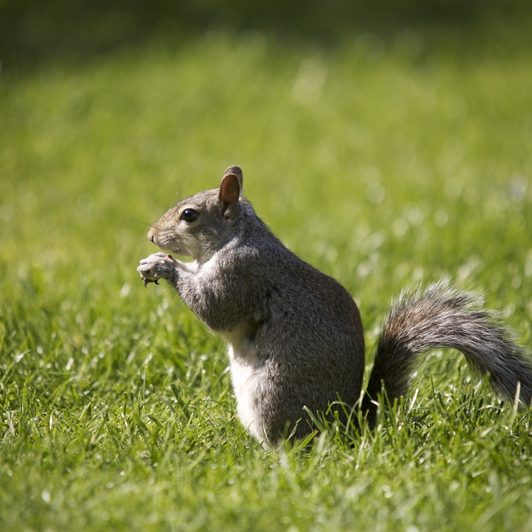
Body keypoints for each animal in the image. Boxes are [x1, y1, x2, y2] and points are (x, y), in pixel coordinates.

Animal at [137, 164, 532, 446]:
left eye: (189, 215)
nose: (151, 236)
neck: (234, 238)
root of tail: (348, 426)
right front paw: (153, 261)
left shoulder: (241, 274)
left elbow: (214, 309)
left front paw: (165, 266)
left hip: (273, 396)